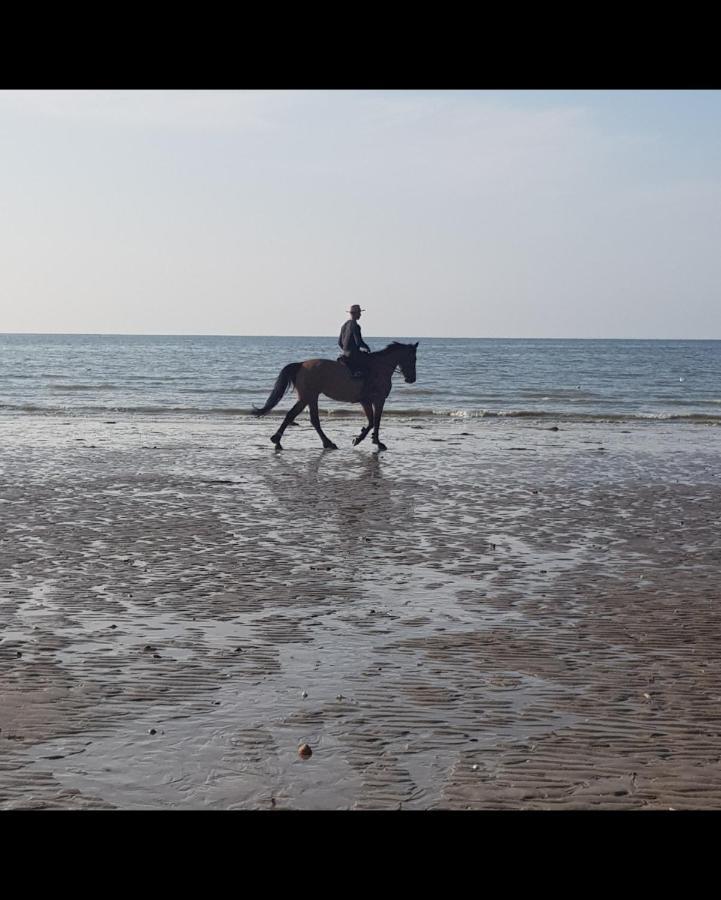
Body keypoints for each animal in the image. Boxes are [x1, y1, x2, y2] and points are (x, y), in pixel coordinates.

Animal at [253, 340, 420, 450]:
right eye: (413, 358)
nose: (411, 379)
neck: (380, 368)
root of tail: (301, 364)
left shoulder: (370, 401)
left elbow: (373, 421)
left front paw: (368, 439)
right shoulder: (374, 400)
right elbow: (374, 422)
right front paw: (365, 440)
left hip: (309, 397)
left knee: (301, 417)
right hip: (309, 396)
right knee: (301, 417)